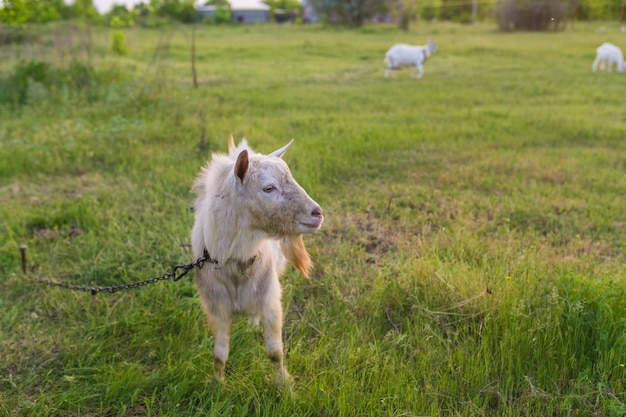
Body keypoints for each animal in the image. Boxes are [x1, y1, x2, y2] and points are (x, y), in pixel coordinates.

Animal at [191, 136, 324, 384]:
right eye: (269, 188)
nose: (317, 213)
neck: (235, 264)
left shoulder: (271, 302)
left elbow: (275, 353)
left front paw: (285, 385)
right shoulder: (217, 309)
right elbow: (219, 355)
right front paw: (217, 385)